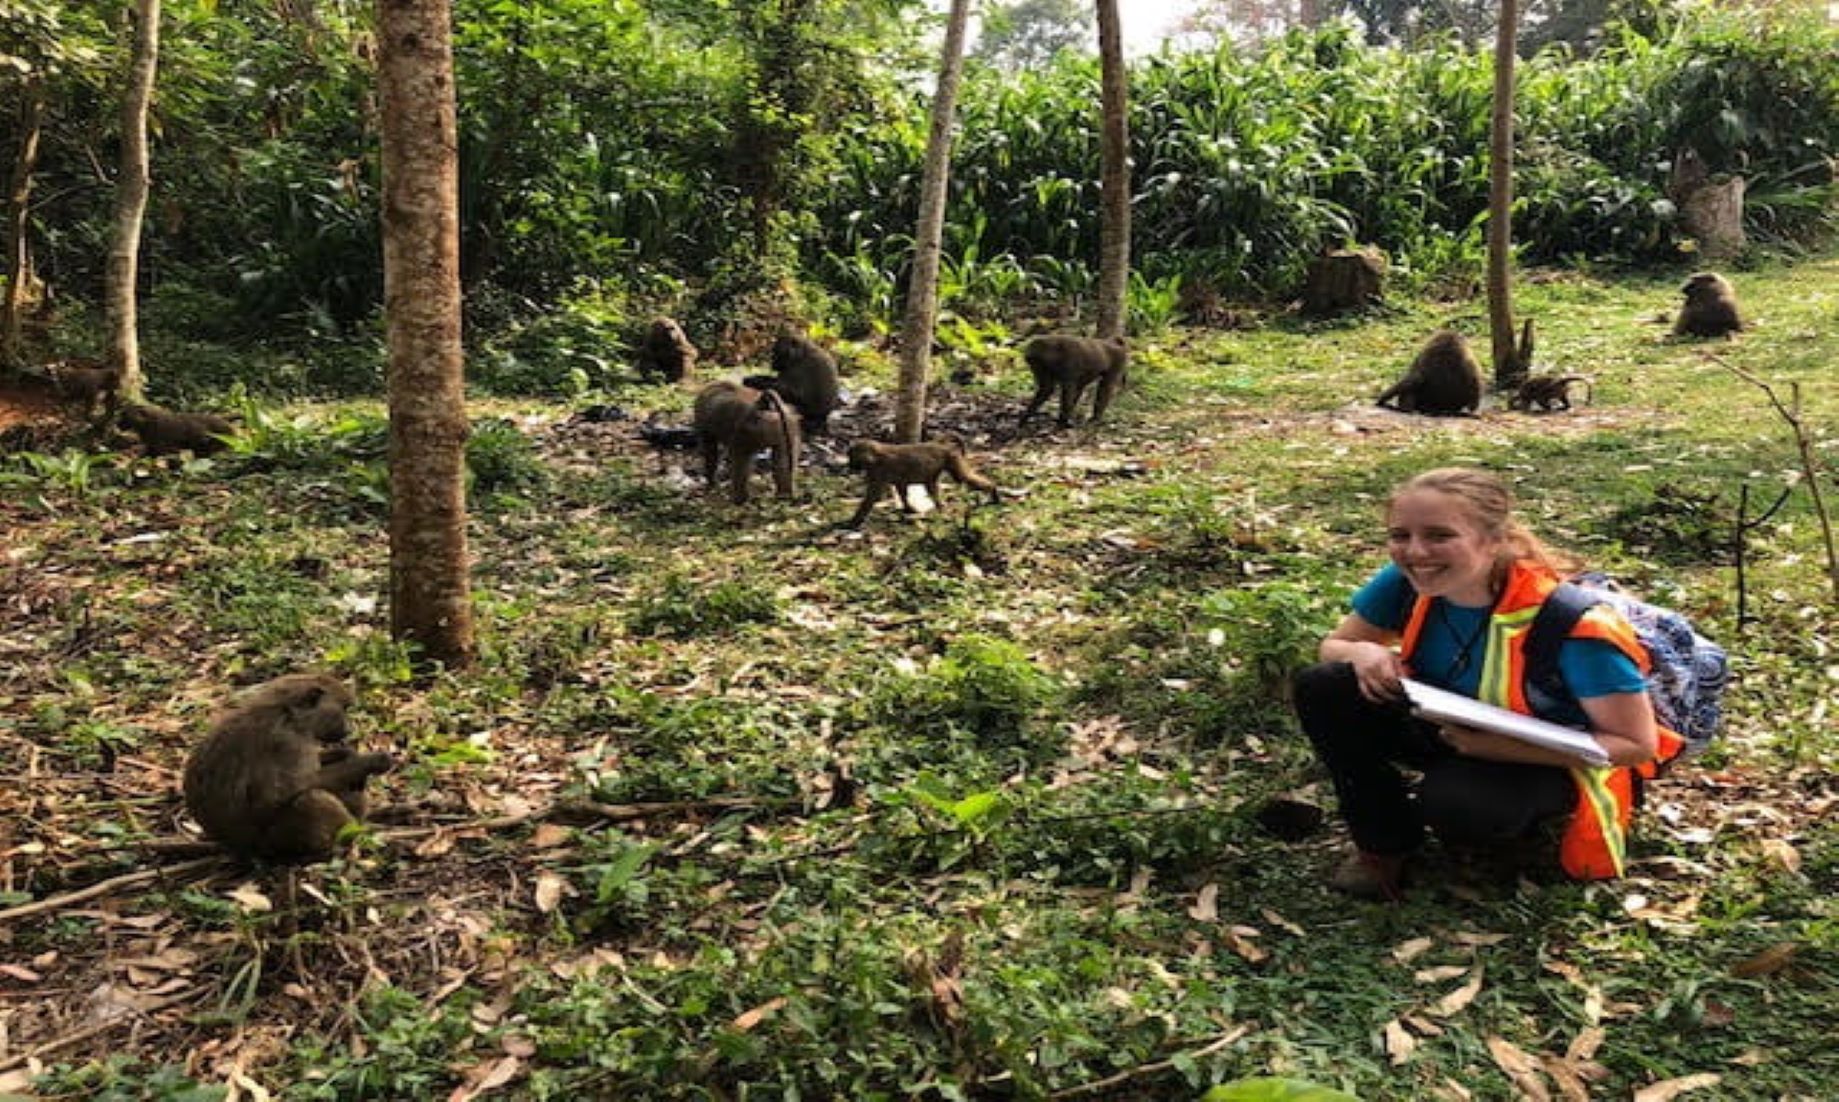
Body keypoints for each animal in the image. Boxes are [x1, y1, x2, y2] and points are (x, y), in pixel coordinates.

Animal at [181, 673, 393, 860]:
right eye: (344, 709)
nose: (349, 729)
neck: (289, 715)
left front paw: (346, 754)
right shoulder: (287, 742)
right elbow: (283, 792)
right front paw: (371, 761)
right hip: (276, 843)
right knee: (311, 799)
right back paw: (352, 836)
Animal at [842, 437, 1000, 529]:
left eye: (851, 456)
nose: (850, 466)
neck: (875, 455)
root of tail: (943, 446)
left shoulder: (877, 471)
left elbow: (872, 497)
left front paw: (853, 522)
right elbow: (901, 488)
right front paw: (909, 509)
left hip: (951, 458)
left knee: (961, 478)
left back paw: (993, 491)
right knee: (933, 486)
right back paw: (942, 510)